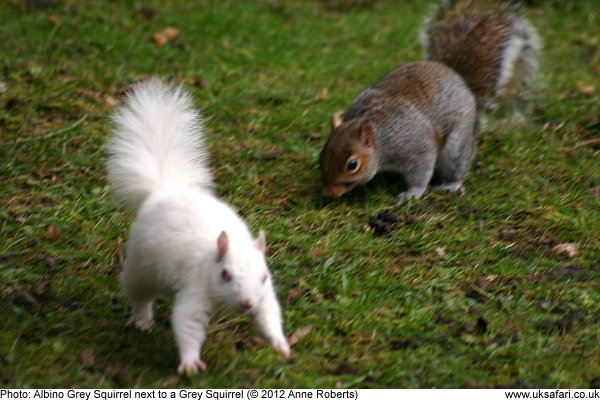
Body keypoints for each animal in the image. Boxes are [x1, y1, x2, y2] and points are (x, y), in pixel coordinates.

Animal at [106, 77, 292, 376]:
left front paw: (281, 345)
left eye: (264, 277)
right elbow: (188, 323)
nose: (247, 303)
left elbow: (268, 318)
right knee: (140, 294)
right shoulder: (195, 288)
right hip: (140, 268)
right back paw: (142, 319)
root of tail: (164, 191)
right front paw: (191, 362)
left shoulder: (264, 298)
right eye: (225, 275)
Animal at [318, 1, 540, 203]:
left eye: (352, 165)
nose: (328, 193)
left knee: (458, 165)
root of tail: (460, 80)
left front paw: (412, 193)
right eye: (322, 153)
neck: (382, 137)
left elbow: (421, 171)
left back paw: (452, 184)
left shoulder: (416, 148)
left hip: (457, 145)